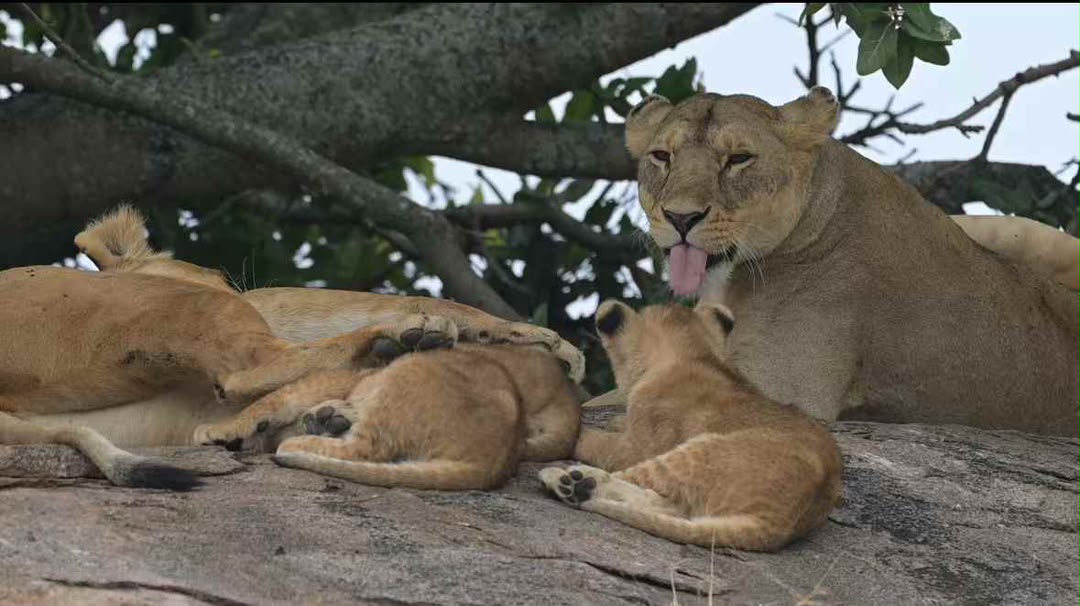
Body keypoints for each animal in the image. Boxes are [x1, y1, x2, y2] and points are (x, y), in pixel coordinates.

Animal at [192, 342, 581, 490]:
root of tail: (490, 462)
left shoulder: (331, 378)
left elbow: (271, 400)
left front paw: (214, 429)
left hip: (407, 372)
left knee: (366, 450)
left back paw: (302, 439)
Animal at [540, 300, 842, 551]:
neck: (698, 355)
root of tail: (777, 522)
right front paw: (616, 421)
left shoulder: (638, 447)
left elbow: (596, 442)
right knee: (674, 509)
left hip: (701, 450)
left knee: (640, 481)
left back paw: (566, 480)